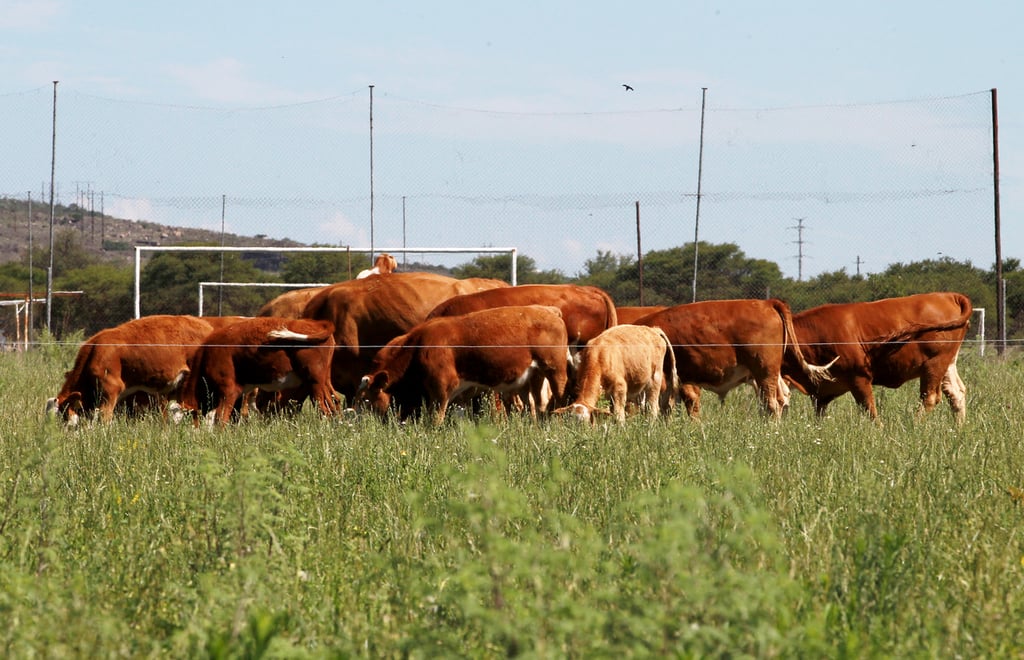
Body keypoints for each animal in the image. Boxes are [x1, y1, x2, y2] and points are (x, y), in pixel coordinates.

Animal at [358, 306, 569, 425]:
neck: (417, 346)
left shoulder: (441, 387)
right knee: (535, 406)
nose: (358, 423)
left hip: (554, 369)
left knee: (559, 396)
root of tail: (552, 313)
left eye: (364, 399)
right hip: (531, 377)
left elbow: (435, 420)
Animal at [782, 290, 974, 421]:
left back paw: (914, 425)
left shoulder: (859, 377)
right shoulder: (822, 392)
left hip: (934, 364)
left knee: (930, 397)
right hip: (947, 363)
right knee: (956, 393)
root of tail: (949, 296)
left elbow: (870, 411)